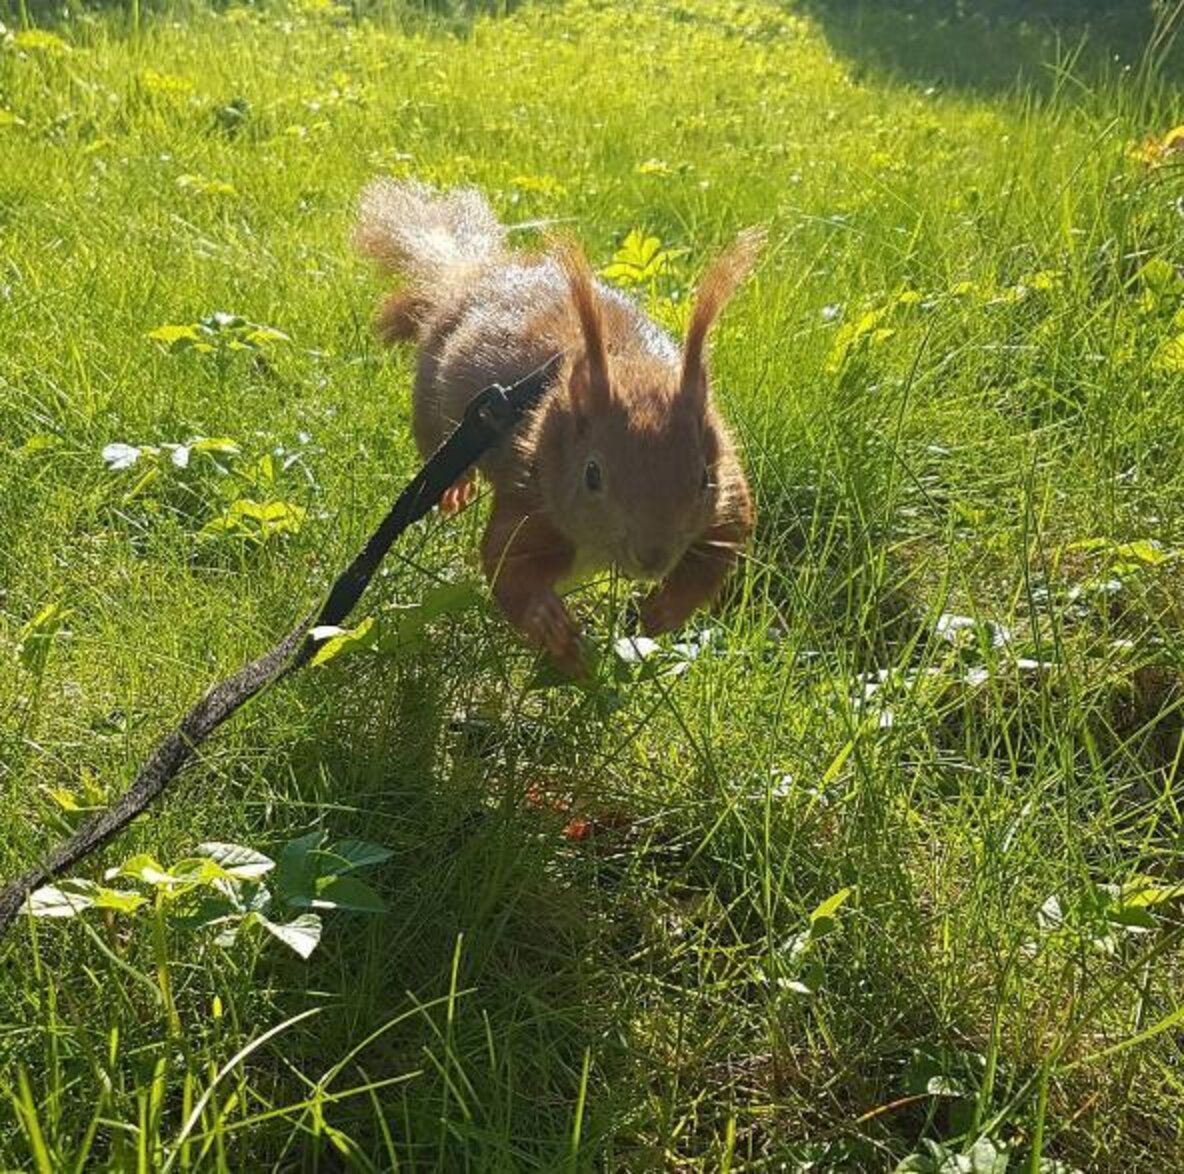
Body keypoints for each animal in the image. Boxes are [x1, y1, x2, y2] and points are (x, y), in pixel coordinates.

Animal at [354, 178, 760, 674]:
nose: (652, 559)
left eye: (704, 478)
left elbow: (727, 539)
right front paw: (552, 630)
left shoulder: (728, 493)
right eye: (592, 475)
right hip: (434, 409)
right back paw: (455, 488)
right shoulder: (532, 496)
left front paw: (667, 609)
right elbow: (504, 564)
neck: (630, 367)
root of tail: (473, 276)